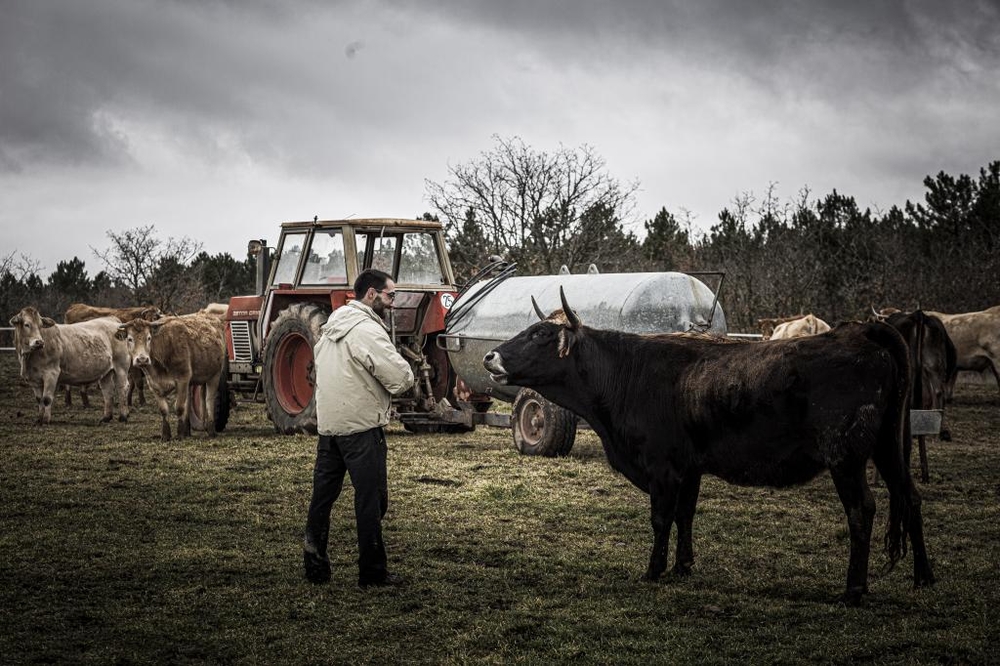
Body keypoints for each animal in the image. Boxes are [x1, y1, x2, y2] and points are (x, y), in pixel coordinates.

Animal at [486, 288, 936, 604]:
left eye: (540, 333)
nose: (490, 356)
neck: (629, 373)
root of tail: (861, 330)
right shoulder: (690, 468)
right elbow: (686, 515)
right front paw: (683, 566)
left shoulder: (663, 468)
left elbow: (662, 518)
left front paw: (653, 570)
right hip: (888, 447)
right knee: (910, 496)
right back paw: (923, 577)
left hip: (846, 456)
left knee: (862, 510)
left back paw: (853, 590)